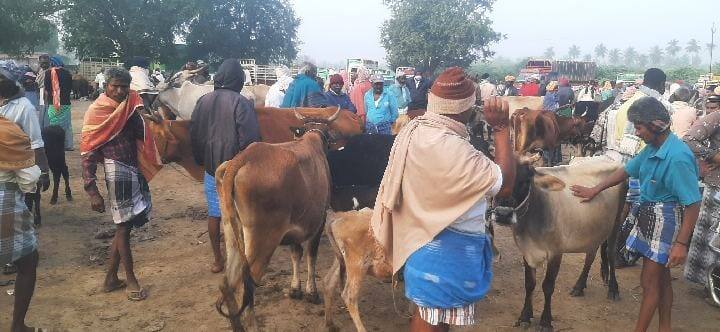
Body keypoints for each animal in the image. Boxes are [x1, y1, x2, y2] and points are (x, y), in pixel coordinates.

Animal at [214, 108, 340, 330]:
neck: (312, 138)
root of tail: (242, 158)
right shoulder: (318, 222)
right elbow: (311, 255)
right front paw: (311, 292)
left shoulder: (295, 227)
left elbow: (295, 254)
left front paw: (295, 289)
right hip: (263, 239)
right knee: (247, 283)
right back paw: (252, 325)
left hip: (232, 232)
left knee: (227, 283)